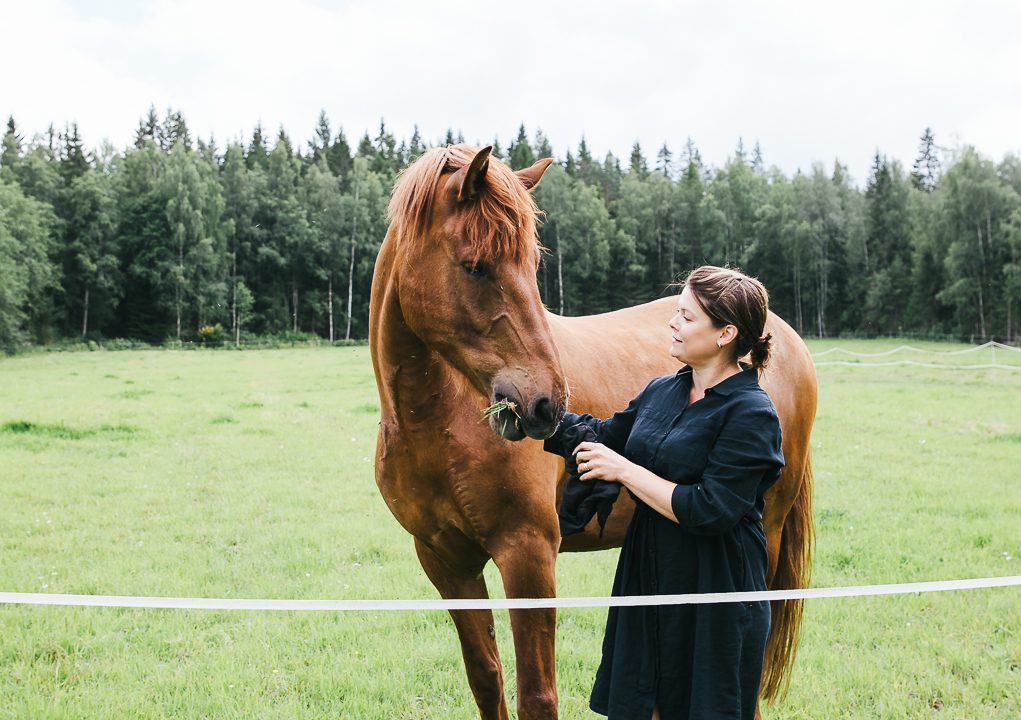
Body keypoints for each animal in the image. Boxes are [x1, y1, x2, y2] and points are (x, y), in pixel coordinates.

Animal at [371, 142, 816, 714]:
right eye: (474, 266)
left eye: (532, 264)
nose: (546, 404)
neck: (436, 427)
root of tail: (782, 337)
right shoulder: (447, 562)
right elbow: (486, 679)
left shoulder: (528, 555)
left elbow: (537, 695)